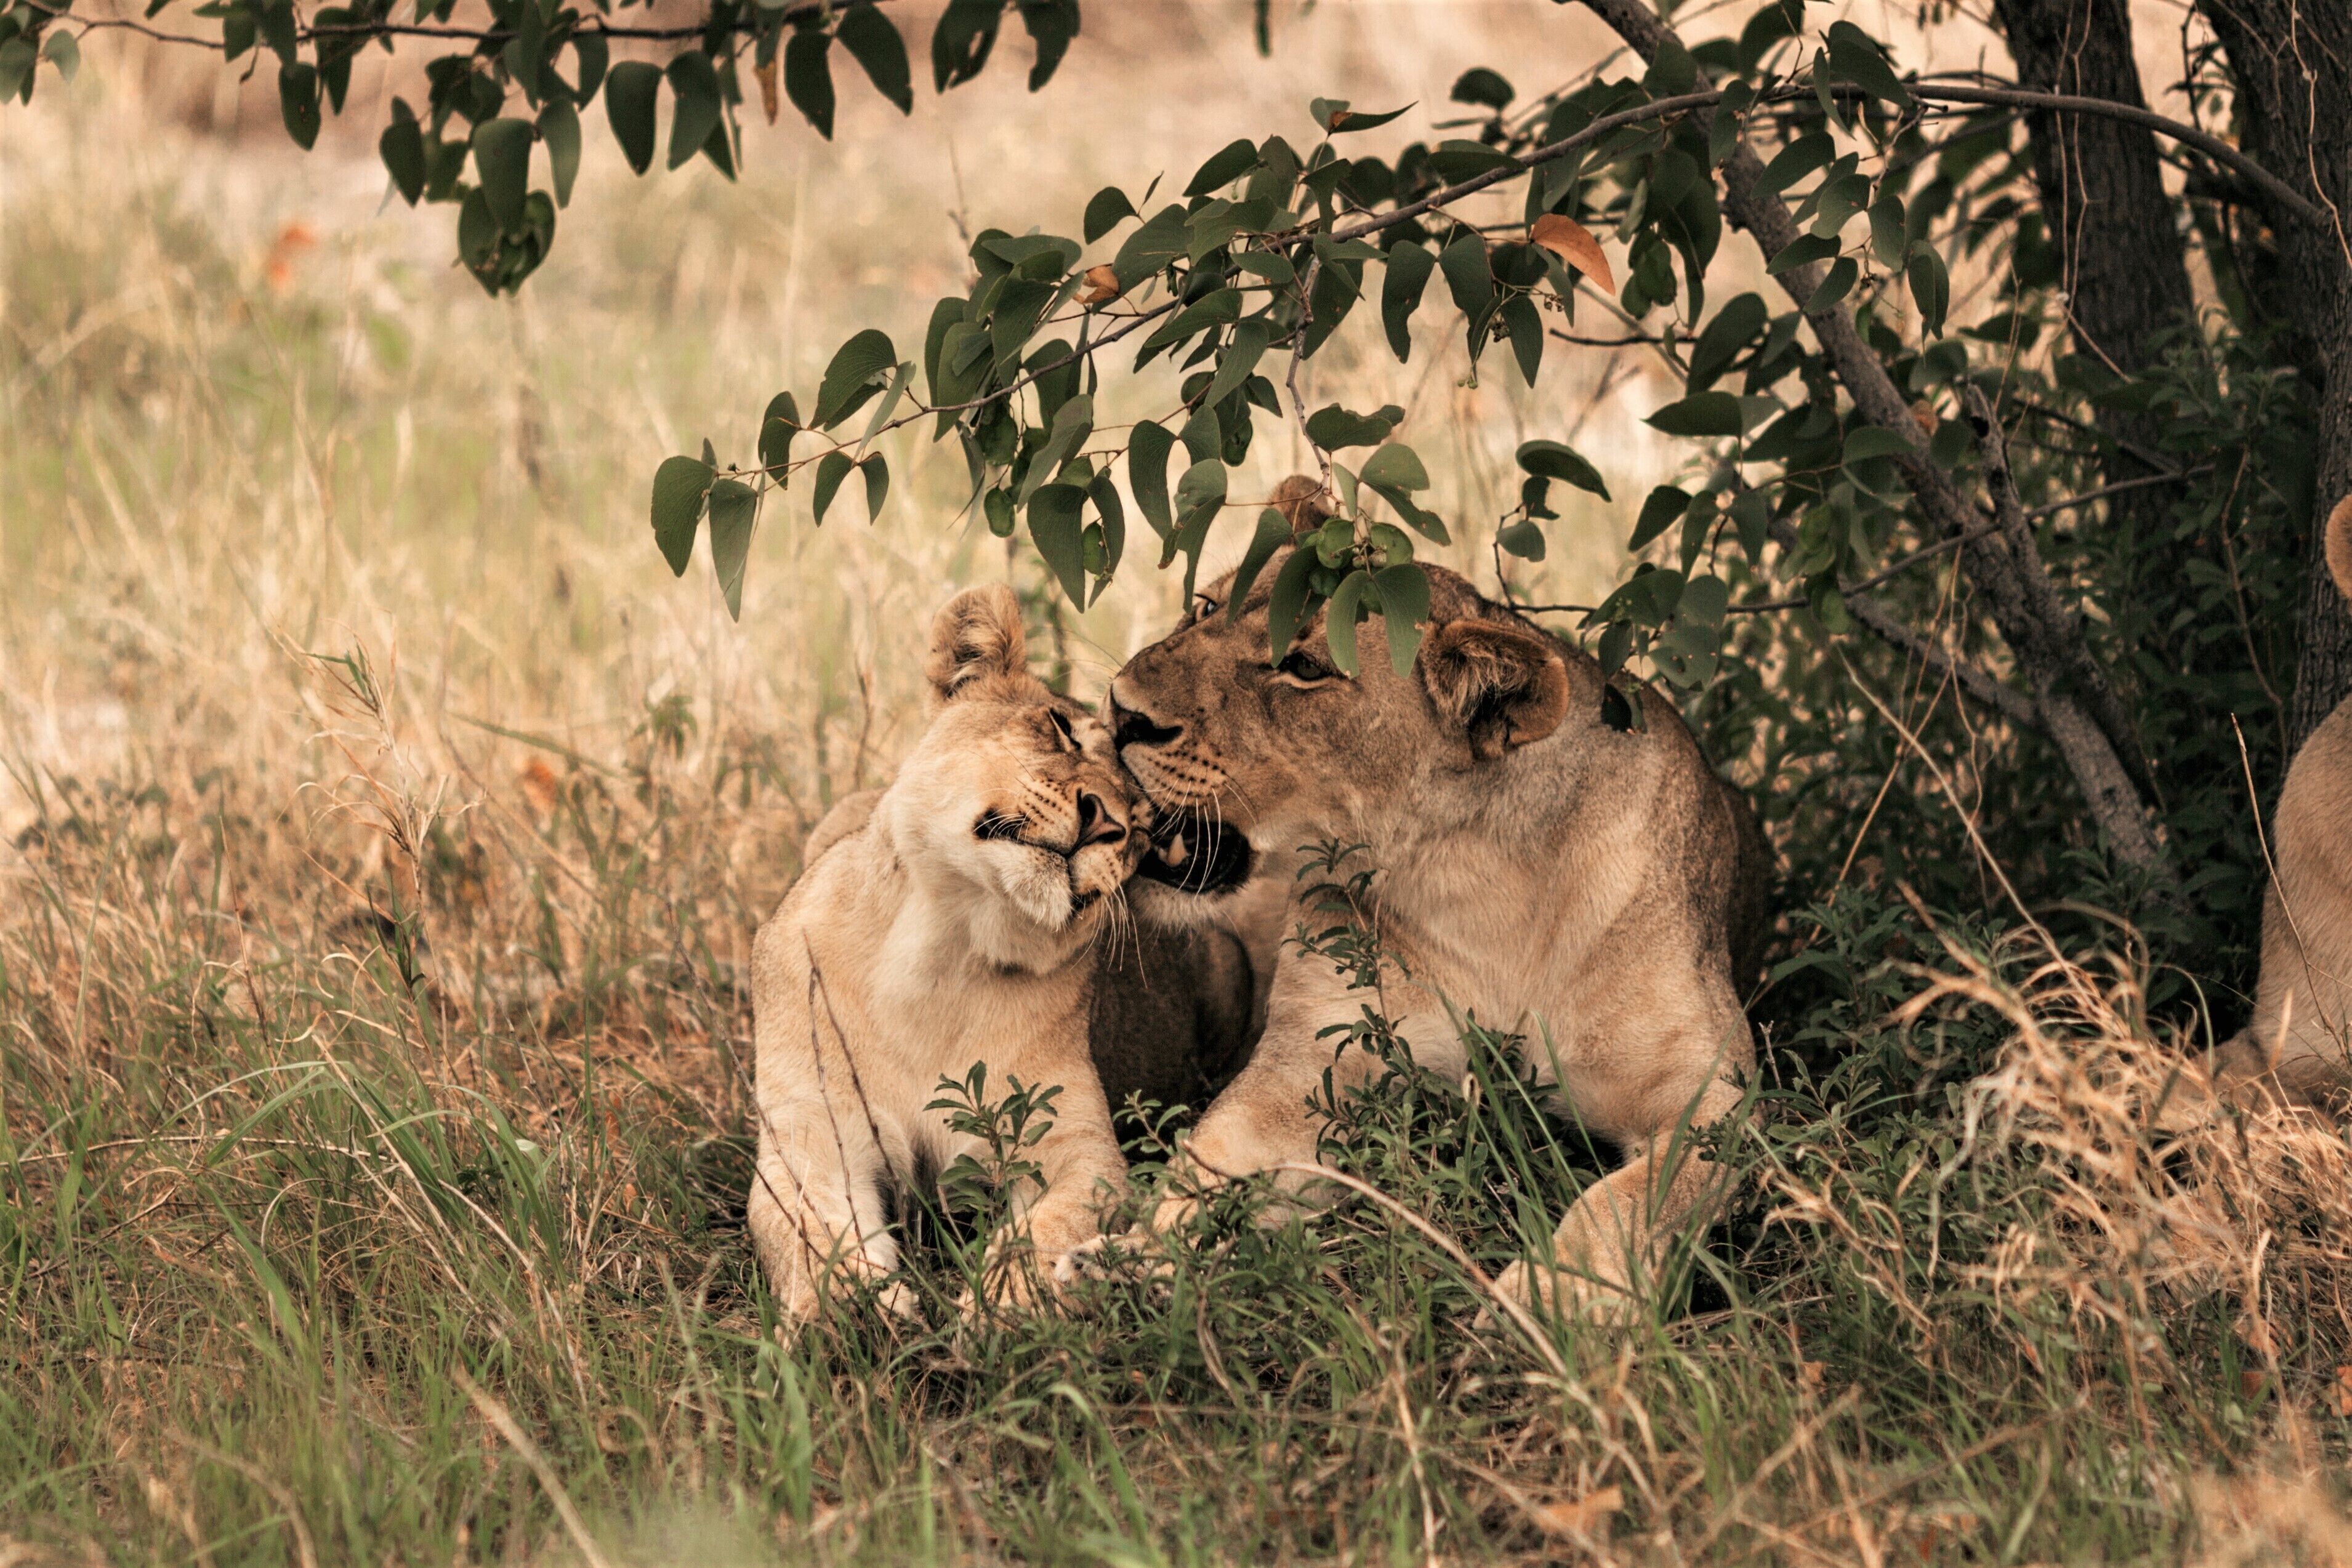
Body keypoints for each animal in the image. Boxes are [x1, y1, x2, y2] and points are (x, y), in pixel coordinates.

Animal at [747, 584, 1162, 1320]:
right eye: (1057, 727)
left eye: (1142, 830)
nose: (1107, 824)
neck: (941, 950)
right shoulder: (808, 1137)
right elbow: (809, 1231)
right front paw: (852, 1310)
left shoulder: (1079, 1149)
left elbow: (1053, 1224)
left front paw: (1005, 1299)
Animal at [1109, 479, 1770, 1322]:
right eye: (1201, 607)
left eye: (1303, 668)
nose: (1118, 710)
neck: (1478, 886)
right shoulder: (1310, 1065)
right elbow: (1206, 1164)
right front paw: (1102, 1266)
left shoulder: (1712, 1093)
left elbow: (1635, 1196)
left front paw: (1558, 1298)